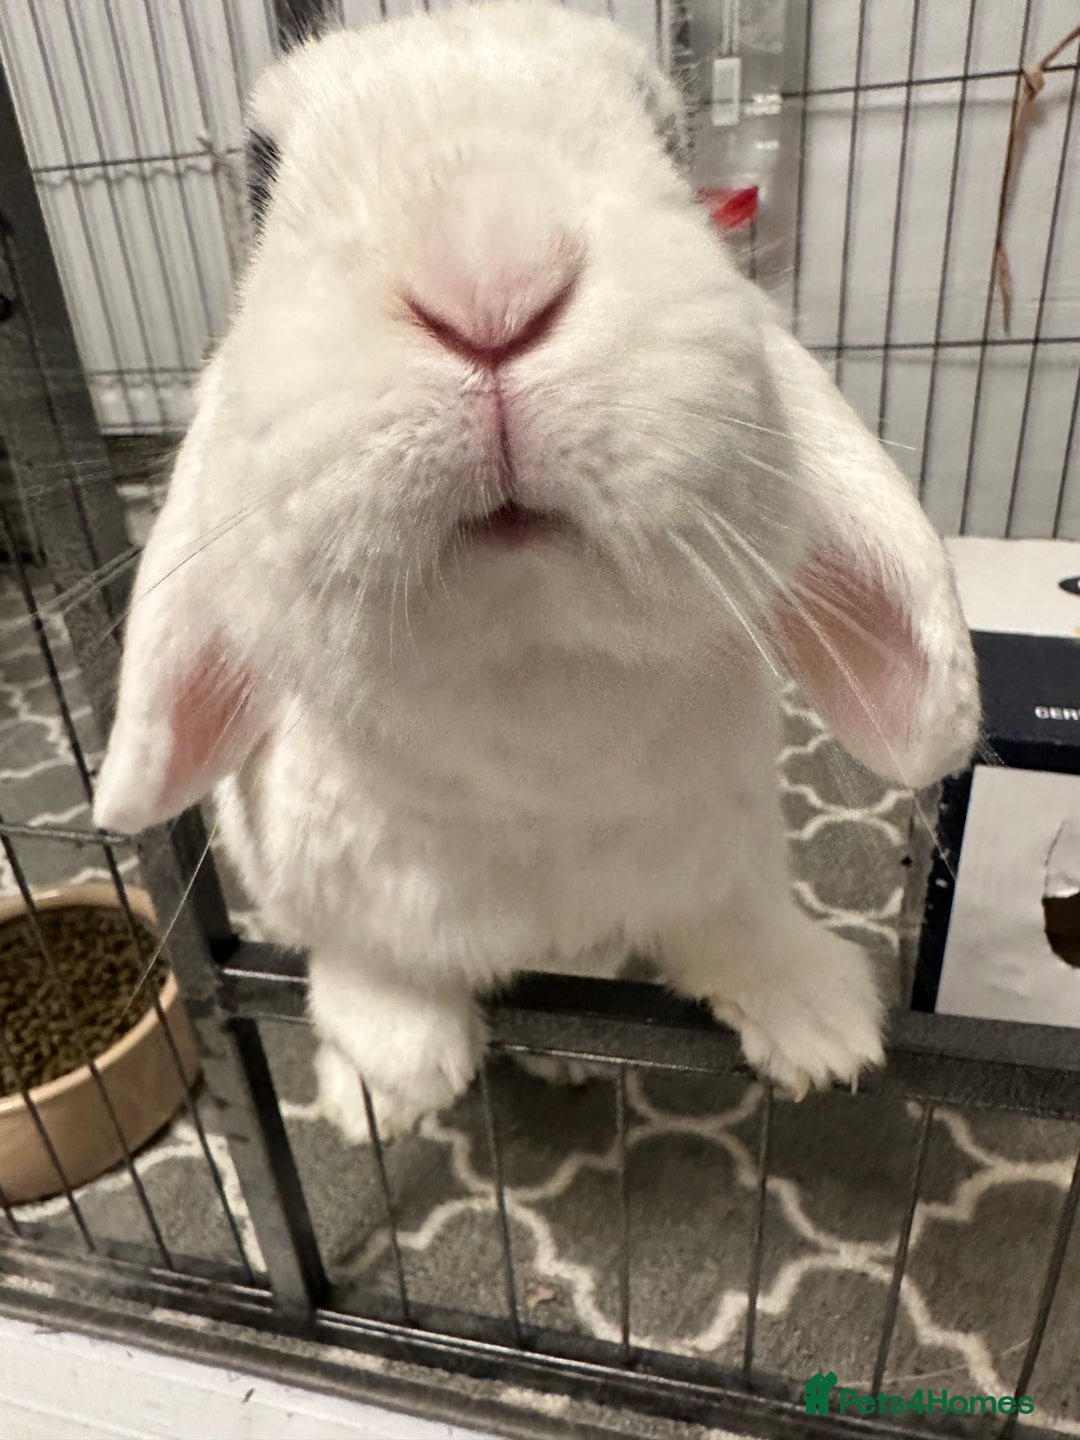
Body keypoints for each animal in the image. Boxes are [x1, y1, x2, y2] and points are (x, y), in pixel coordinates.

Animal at [93, 1, 980, 1142]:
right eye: (260, 175)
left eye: (669, 136)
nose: (487, 281)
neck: (528, 679)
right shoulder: (325, 887)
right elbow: (370, 964)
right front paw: (403, 1073)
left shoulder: (726, 854)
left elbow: (735, 924)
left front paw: (828, 1032)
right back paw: (380, 1097)